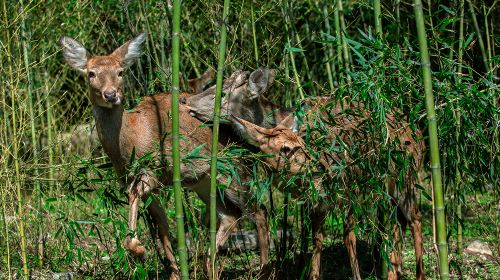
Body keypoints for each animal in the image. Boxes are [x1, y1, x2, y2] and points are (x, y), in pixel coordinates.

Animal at [59, 32, 272, 278]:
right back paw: (210, 266)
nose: (111, 95)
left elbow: (137, 199)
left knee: (259, 210)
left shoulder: (155, 169)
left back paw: (264, 270)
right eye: (91, 73)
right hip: (204, 180)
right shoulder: (136, 179)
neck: (132, 140)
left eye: (121, 71)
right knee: (230, 215)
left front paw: (140, 249)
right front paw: (173, 271)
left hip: (234, 168)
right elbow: (162, 225)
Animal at [188, 67, 426, 280]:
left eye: (222, 93)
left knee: (415, 218)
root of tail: (418, 134)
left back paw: (418, 274)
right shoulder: (318, 197)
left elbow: (348, 235)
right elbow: (317, 239)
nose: (188, 104)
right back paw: (395, 271)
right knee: (399, 221)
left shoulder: (344, 185)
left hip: (407, 177)